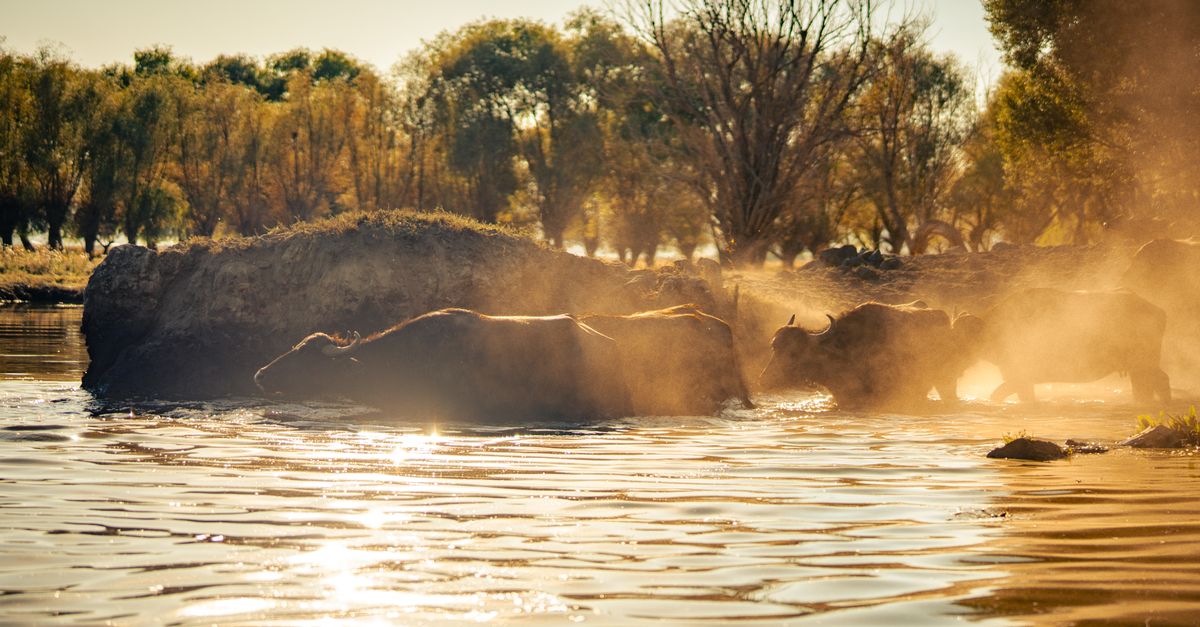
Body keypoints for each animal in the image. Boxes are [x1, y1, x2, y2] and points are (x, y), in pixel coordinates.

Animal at [962, 288, 1170, 403]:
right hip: (1142, 367)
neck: (994, 330)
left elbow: (996, 395)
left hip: (1143, 365)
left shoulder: (1020, 378)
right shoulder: (1019, 379)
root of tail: (1159, 311)